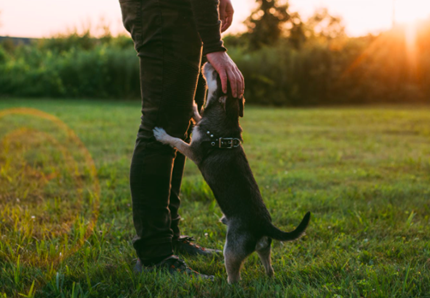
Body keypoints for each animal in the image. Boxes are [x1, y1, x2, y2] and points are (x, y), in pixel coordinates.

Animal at [153, 62, 310, 284]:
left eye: (217, 74)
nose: (207, 62)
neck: (225, 116)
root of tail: (263, 225)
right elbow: (197, 114)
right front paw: (193, 103)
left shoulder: (194, 151)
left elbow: (177, 141)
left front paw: (162, 135)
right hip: (264, 248)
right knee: (269, 266)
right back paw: (268, 277)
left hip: (232, 250)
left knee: (235, 277)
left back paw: (225, 284)